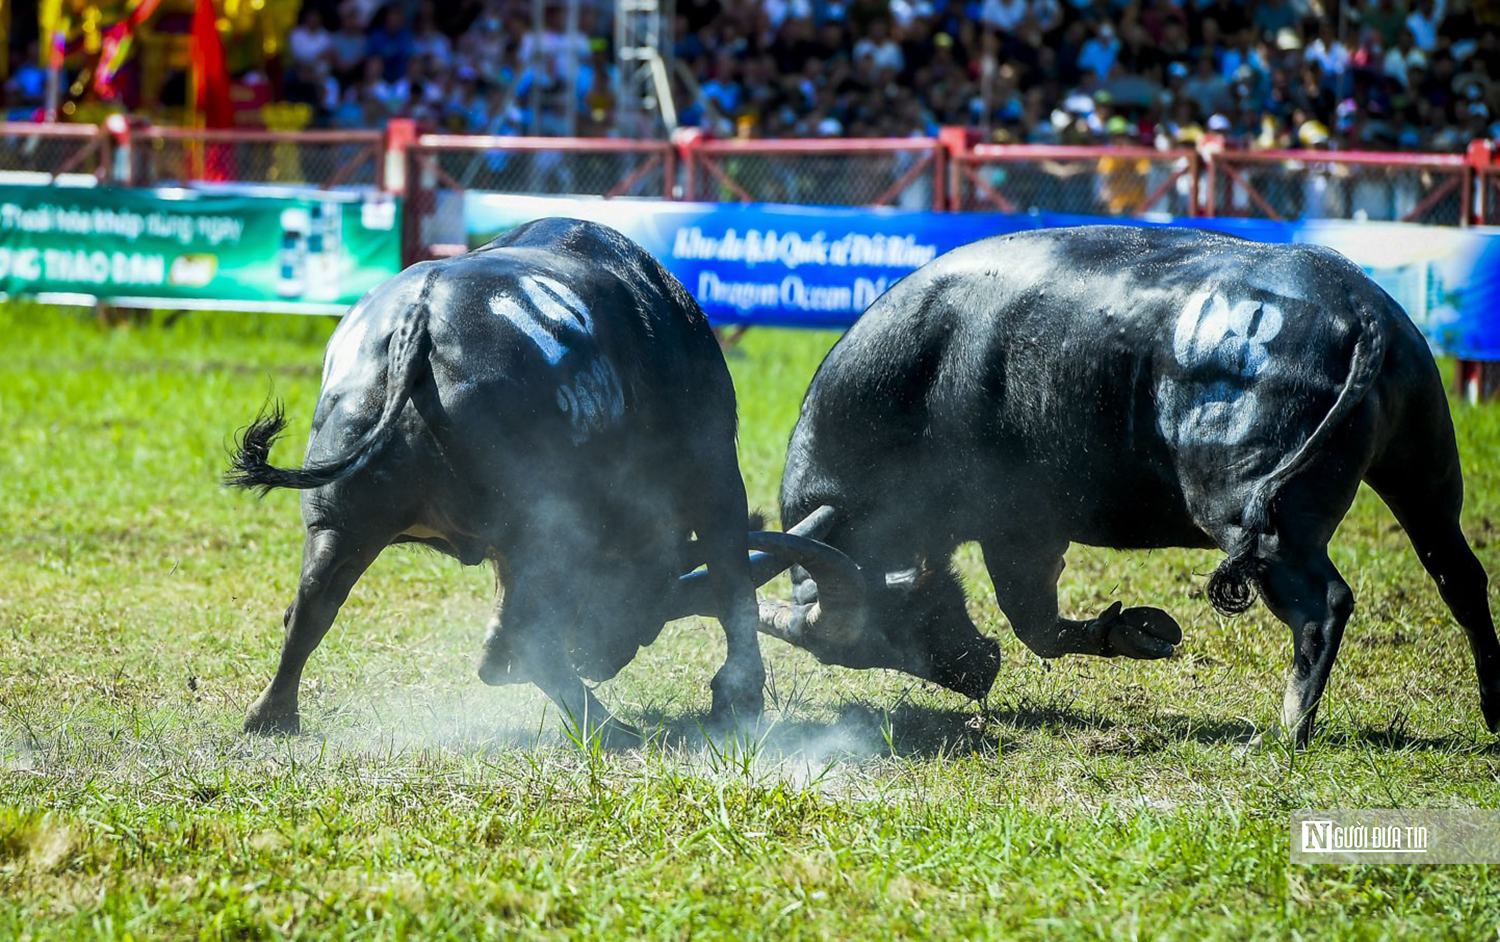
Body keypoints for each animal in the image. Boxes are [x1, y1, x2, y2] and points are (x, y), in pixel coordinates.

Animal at [226, 217, 852, 747]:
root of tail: (418, 319)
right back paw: (612, 729)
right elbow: (731, 581)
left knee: (312, 608)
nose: (602, 657)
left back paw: (271, 716)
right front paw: (739, 697)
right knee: (531, 645)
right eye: (648, 599)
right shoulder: (714, 469)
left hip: (341, 523)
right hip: (545, 530)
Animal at [762, 222, 1500, 744]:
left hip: (1255, 519)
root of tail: (1360, 306)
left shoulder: (1014, 529)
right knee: (1460, 577)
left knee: (1324, 606)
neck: (924, 381)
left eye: (897, 621)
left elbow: (1031, 620)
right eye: (858, 656)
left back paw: (1289, 729)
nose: (974, 673)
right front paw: (1134, 631)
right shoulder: (1030, 536)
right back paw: (1492, 710)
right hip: (1425, 480)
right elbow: (1040, 624)